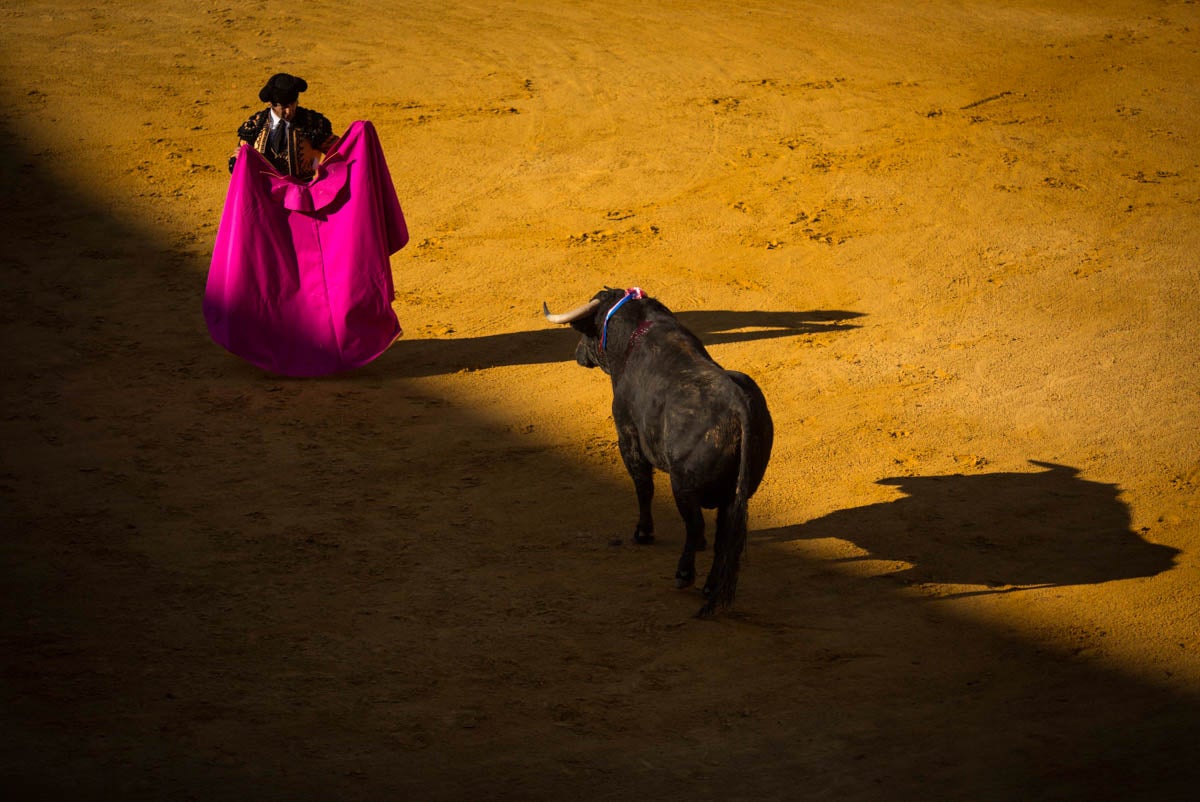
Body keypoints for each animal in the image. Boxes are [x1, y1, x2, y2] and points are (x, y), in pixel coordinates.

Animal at [547, 288, 772, 614]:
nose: (577, 354)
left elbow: (644, 487)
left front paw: (643, 533)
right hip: (737, 492)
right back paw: (709, 586)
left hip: (683, 484)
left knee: (695, 524)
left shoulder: (627, 436)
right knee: (723, 534)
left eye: (588, 331)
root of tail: (738, 404)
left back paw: (684, 575)